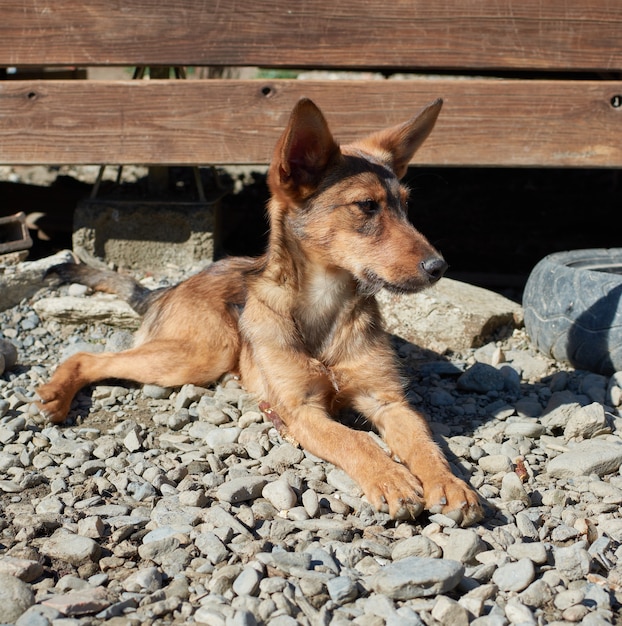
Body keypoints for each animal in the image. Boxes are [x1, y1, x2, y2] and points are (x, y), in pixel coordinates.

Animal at [37, 97, 482, 524]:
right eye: (366, 206)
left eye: (406, 206)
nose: (439, 267)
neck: (326, 304)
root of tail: (170, 286)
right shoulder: (301, 410)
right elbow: (354, 439)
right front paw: (390, 477)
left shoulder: (388, 401)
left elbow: (424, 442)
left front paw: (450, 484)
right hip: (203, 353)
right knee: (88, 356)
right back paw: (58, 394)